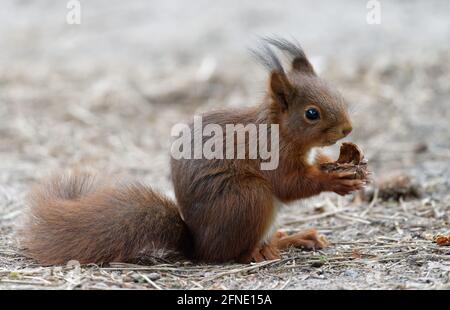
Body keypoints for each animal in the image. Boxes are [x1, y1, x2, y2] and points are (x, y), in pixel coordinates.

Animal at [19, 37, 368, 266]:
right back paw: (266, 250)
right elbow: (289, 185)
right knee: (234, 253)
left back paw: (293, 237)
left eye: (336, 91)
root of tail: (197, 246)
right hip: (249, 199)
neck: (279, 128)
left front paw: (338, 163)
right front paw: (336, 181)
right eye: (312, 113)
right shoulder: (272, 154)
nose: (348, 129)